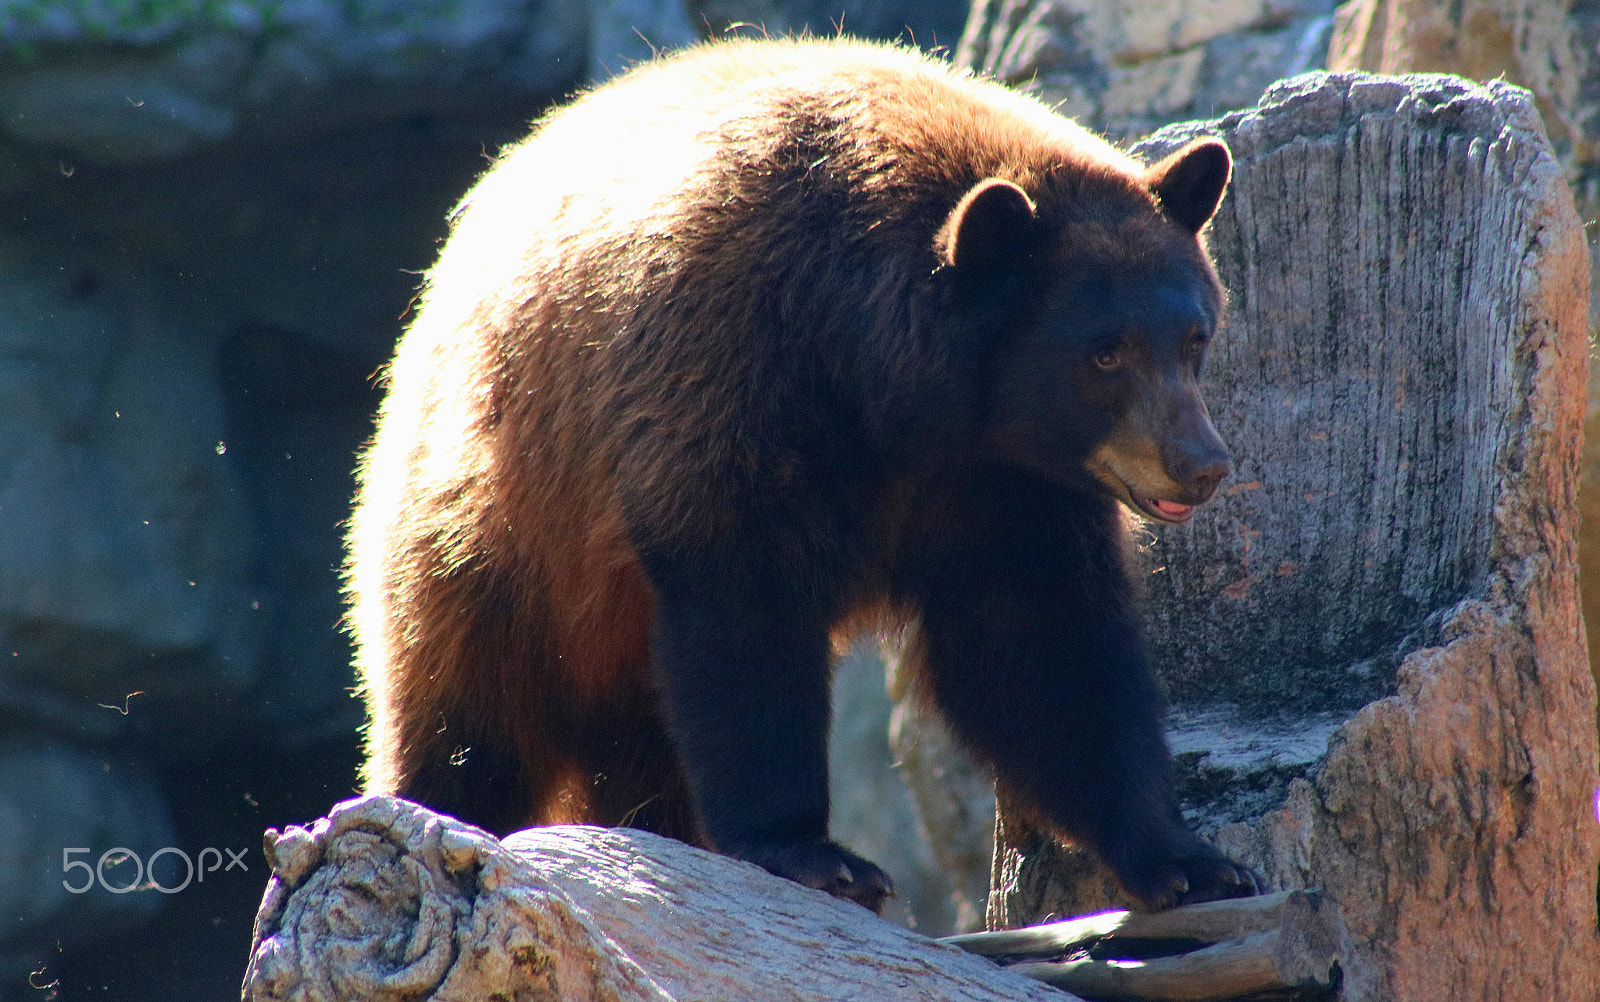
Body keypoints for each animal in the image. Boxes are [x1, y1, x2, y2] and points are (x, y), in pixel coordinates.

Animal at [345, 36, 1258, 915]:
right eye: (1104, 353)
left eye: (1195, 336)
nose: (1203, 465)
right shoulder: (735, 369)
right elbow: (746, 599)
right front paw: (817, 855)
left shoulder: (1005, 482)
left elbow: (1043, 638)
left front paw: (1191, 860)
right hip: (492, 527)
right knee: (467, 716)